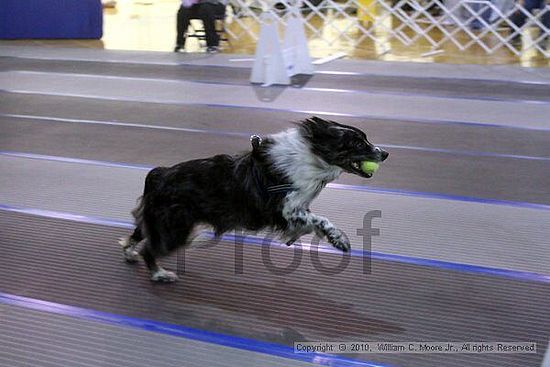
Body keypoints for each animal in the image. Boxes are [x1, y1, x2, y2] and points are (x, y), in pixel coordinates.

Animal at [119, 116, 388, 284]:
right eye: (357, 143)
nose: (385, 153)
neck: (312, 157)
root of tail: (158, 175)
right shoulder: (286, 210)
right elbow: (321, 220)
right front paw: (339, 239)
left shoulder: (298, 209)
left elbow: (310, 222)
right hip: (175, 228)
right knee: (149, 249)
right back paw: (159, 275)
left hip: (161, 220)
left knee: (137, 234)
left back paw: (129, 254)